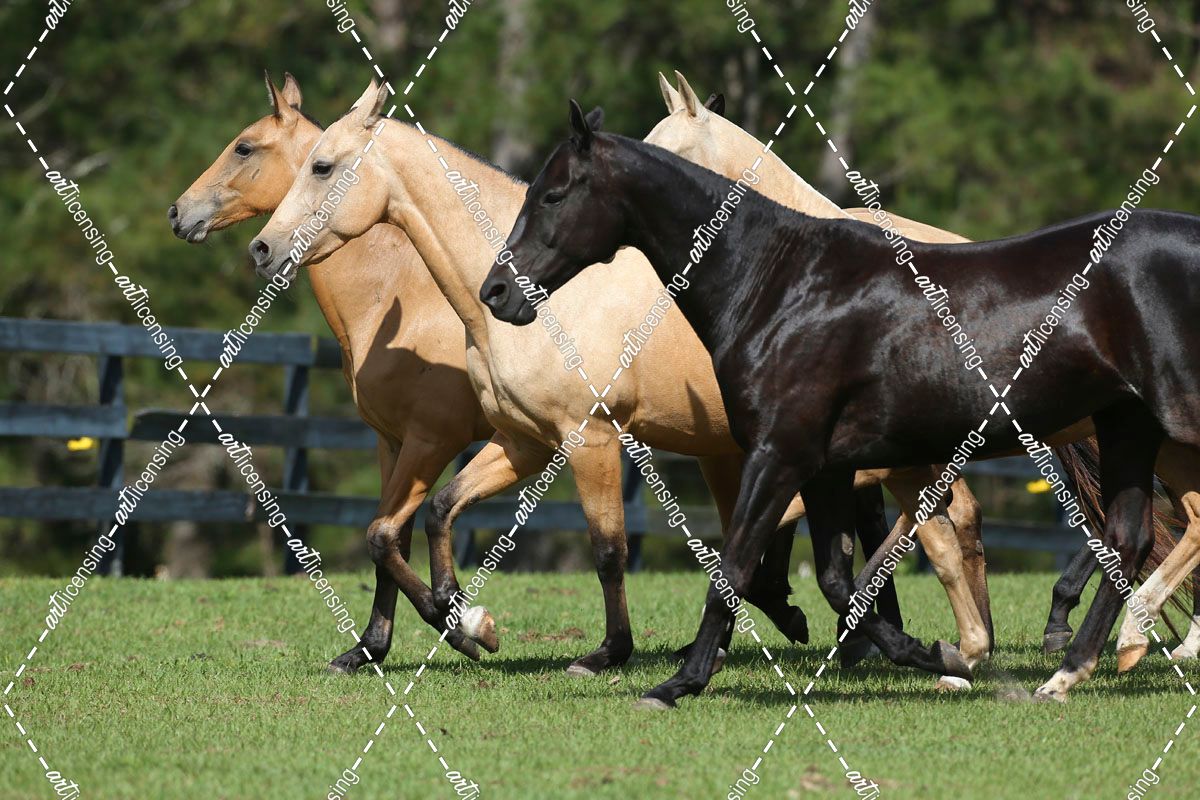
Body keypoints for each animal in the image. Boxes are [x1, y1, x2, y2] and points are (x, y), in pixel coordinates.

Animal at [169, 72, 496, 673]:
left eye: (244, 147)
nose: (179, 213)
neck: (396, 296)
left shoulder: (432, 440)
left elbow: (383, 538)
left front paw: (461, 626)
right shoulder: (393, 443)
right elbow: (390, 540)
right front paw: (368, 649)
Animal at [246, 80, 994, 682]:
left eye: (322, 166)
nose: (263, 249)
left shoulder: (588, 440)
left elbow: (608, 550)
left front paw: (605, 652)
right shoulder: (524, 443)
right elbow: (431, 514)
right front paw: (466, 624)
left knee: (939, 531)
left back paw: (954, 652)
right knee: (932, 530)